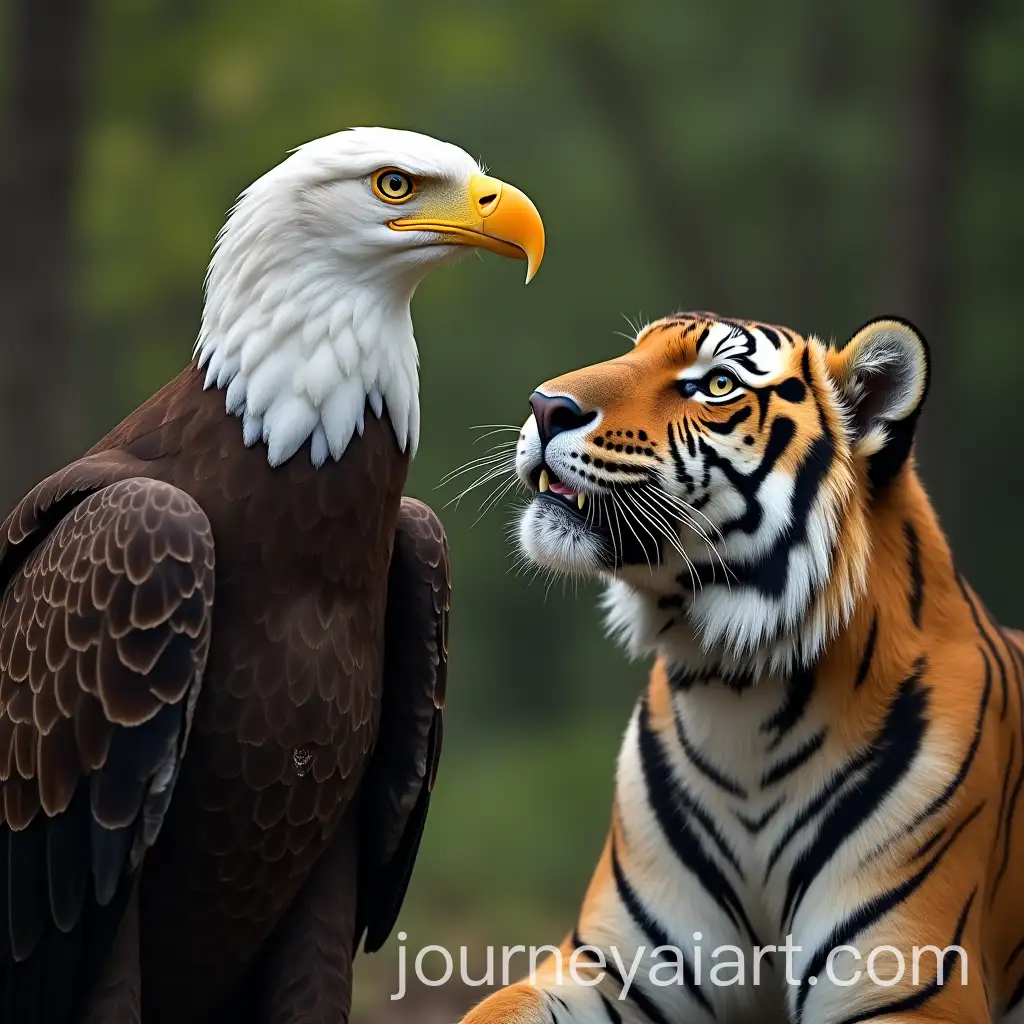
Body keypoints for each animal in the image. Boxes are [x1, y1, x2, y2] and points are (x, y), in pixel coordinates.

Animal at [458, 314, 1024, 1024]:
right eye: (634, 350)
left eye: (717, 384)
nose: (544, 406)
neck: (737, 691)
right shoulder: (610, 966)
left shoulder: (907, 980)